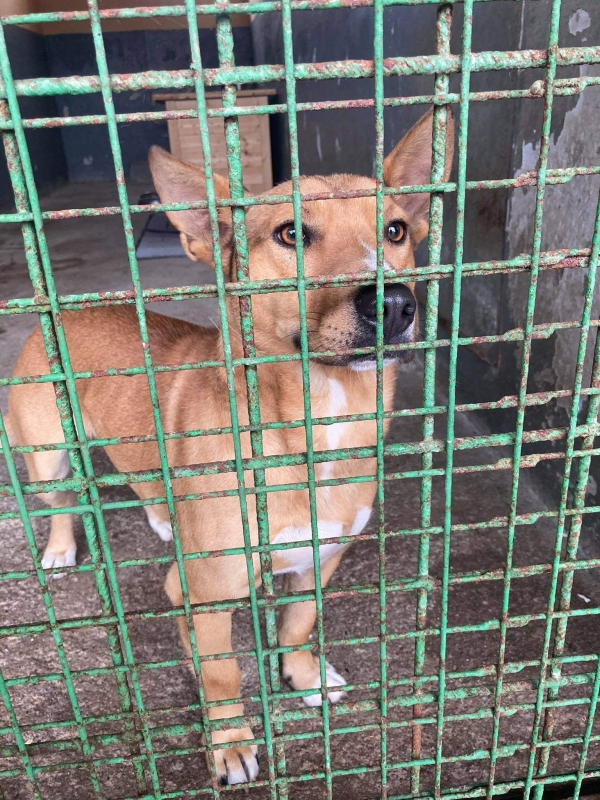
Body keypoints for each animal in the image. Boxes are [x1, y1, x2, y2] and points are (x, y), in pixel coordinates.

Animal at [8, 107, 453, 786]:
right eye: (290, 233)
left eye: (396, 230)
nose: (396, 302)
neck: (311, 432)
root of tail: (61, 310)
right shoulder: (205, 593)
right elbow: (222, 673)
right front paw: (231, 742)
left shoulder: (320, 560)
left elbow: (298, 624)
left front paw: (302, 676)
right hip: (48, 453)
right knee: (62, 502)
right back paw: (61, 548)